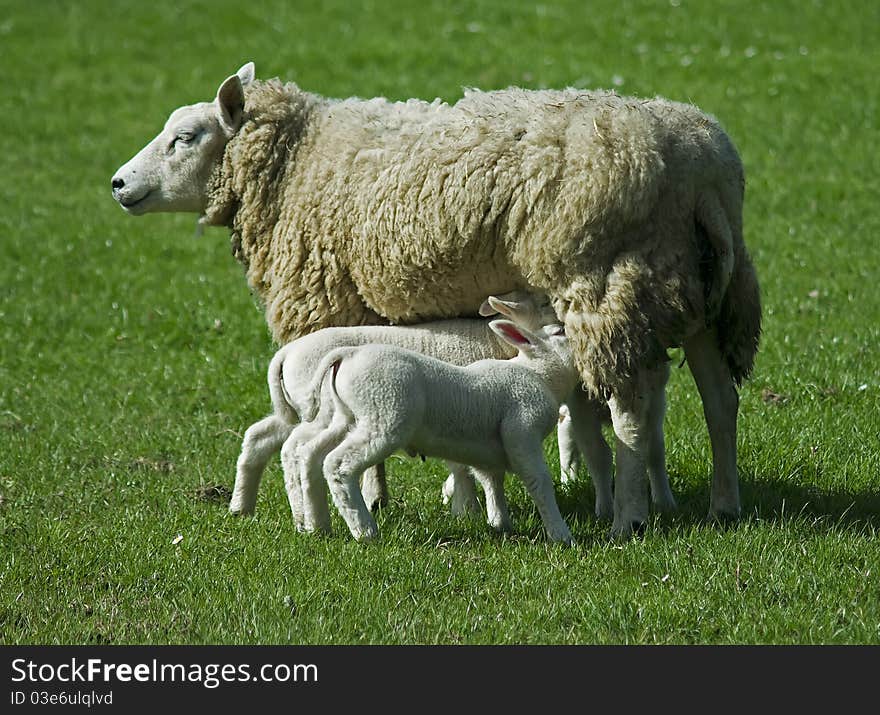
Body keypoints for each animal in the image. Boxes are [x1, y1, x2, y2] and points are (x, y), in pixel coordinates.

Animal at [286, 318, 580, 544]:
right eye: (560, 332)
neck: (541, 376)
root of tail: (348, 354)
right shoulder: (522, 430)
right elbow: (537, 480)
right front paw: (561, 535)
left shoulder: (489, 449)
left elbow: (491, 481)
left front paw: (500, 523)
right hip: (383, 416)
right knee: (338, 464)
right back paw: (364, 531)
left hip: (345, 417)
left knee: (311, 454)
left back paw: (317, 525)